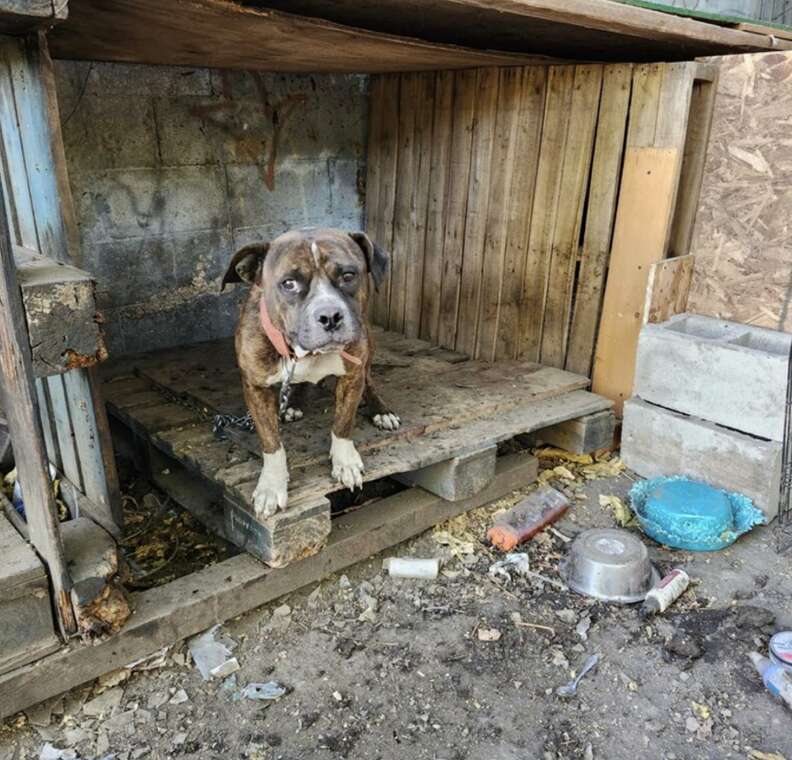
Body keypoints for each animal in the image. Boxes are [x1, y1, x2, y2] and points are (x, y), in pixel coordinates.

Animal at [221, 229, 396, 520]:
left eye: (348, 275)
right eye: (288, 283)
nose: (330, 316)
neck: (306, 354)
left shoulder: (352, 375)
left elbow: (343, 423)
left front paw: (345, 462)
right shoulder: (255, 388)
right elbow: (271, 442)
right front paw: (271, 485)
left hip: (368, 347)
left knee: (369, 380)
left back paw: (381, 410)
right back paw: (293, 403)